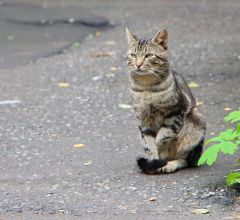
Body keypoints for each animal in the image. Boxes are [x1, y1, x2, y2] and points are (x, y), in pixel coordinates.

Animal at [125, 27, 206, 174]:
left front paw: (160, 158)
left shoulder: (175, 113)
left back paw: (171, 164)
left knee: (187, 160)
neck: (146, 88)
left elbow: (162, 137)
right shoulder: (143, 120)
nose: (138, 64)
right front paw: (154, 162)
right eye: (133, 55)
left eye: (148, 55)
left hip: (196, 121)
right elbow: (149, 144)